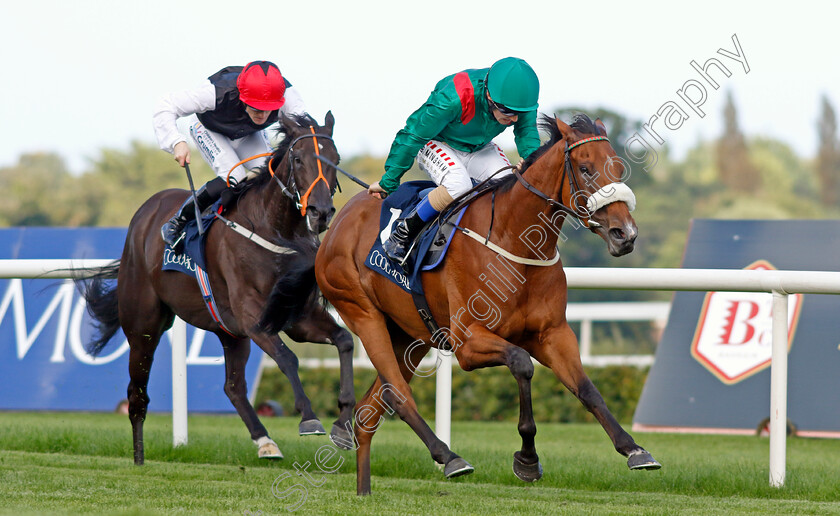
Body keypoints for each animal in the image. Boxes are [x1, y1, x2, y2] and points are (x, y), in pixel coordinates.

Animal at [75, 112, 354, 464]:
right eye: (299, 159)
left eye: (336, 160)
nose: (321, 212)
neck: (275, 229)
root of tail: (146, 211)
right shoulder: (254, 318)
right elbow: (288, 358)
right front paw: (309, 418)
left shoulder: (297, 317)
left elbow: (344, 341)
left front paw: (344, 423)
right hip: (143, 325)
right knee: (136, 393)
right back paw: (138, 458)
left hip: (230, 332)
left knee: (233, 387)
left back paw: (265, 442)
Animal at [316, 115, 664, 494]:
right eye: (585, 168)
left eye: (617, 166)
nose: (625, 234)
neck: (516, 243)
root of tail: (339, 221)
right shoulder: (468, 342)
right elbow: (522, 364)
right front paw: (527, 459)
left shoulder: (553, 334)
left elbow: (587, 388)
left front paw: (634, 448)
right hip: (363, 313)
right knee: (397, 395)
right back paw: (449, 456)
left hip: (409, 336)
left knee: (369, 412)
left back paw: (364, 489)